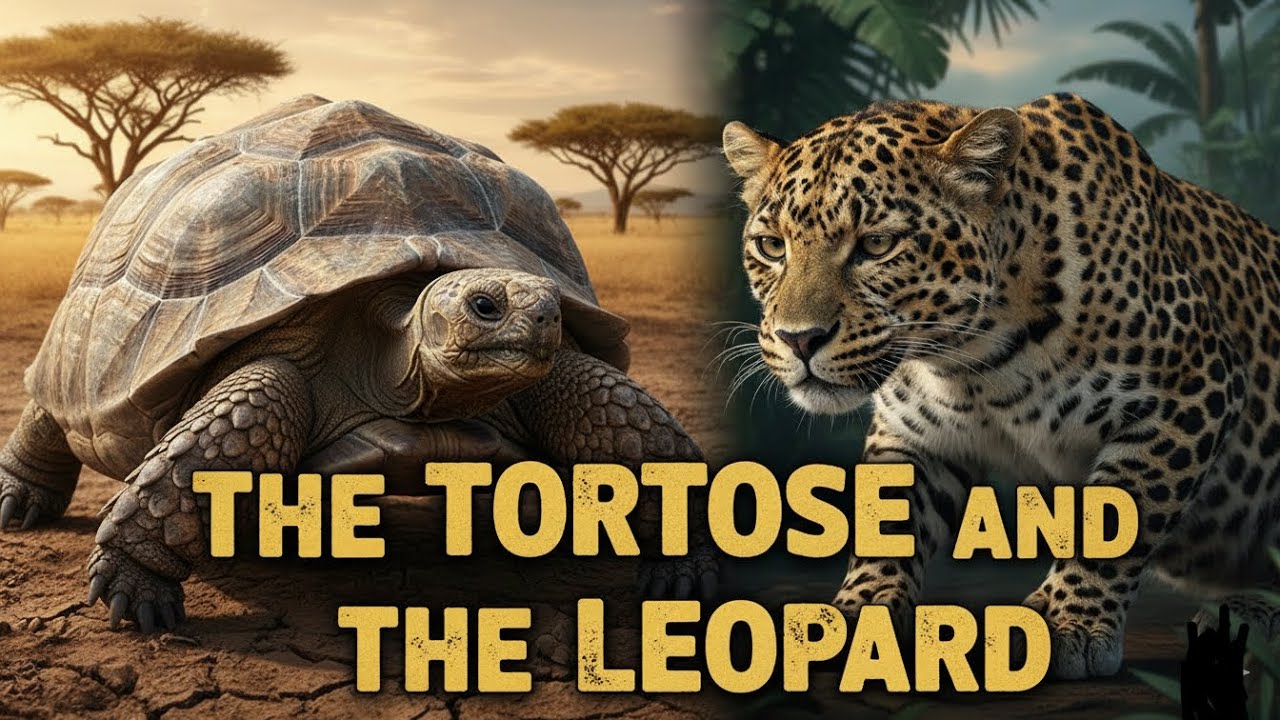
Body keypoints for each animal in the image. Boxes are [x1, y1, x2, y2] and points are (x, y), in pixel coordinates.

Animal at [721, 92, 1280, 679]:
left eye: (876, 245)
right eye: (771, 246)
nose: (799, 338)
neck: (975, 364)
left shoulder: (1196, 385)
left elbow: (1116, 515)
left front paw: (1064, 622)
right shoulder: (913, 433)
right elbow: (884, 529)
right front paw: (858, 619)